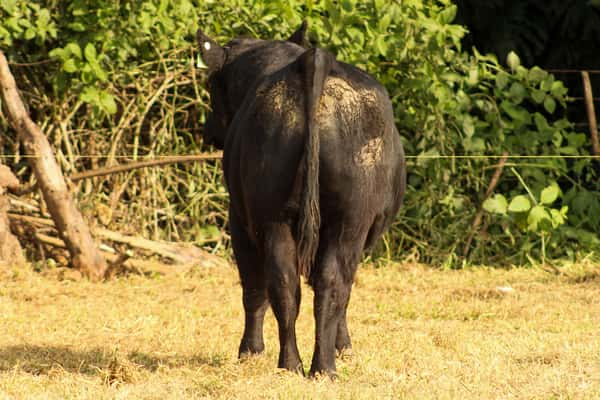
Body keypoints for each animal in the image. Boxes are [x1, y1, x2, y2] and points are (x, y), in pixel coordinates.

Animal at [197, 23, 408, 376]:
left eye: (212, 85)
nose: (208, 129)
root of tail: (313, 59)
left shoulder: (240, 219)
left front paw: (250, 351)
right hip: (344, 221)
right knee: (322, 284)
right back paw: (316, 366)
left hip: (279, 218)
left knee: (290, 283)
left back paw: (298, 364)